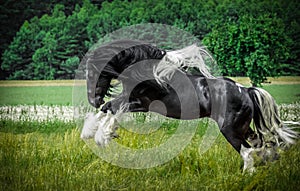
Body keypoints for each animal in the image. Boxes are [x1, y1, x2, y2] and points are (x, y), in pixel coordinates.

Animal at [82, 39, 298, 171]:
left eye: (92, 73)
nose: (93, 99)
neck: (148, 73)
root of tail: (245, 91)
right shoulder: (133, 100)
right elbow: (107, 108)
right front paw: (90, 133)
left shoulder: (139, 102)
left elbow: (112, 109)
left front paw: (103, 136)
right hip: (242, 127)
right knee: (259, 143)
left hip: (230, 129)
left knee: (247, 151)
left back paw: (248, 174)